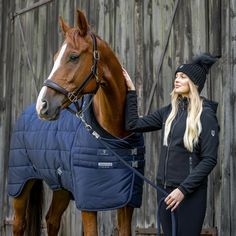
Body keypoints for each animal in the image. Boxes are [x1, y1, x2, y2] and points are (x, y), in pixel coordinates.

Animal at [8, 8, 146, 235]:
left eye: (73, 56)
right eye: (55, 57)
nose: (42, 105)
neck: (112, 137)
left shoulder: (126, 203)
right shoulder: (88, 204)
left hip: (62, 188)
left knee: (52, 220)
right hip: (20, 184)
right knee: (19, 224)